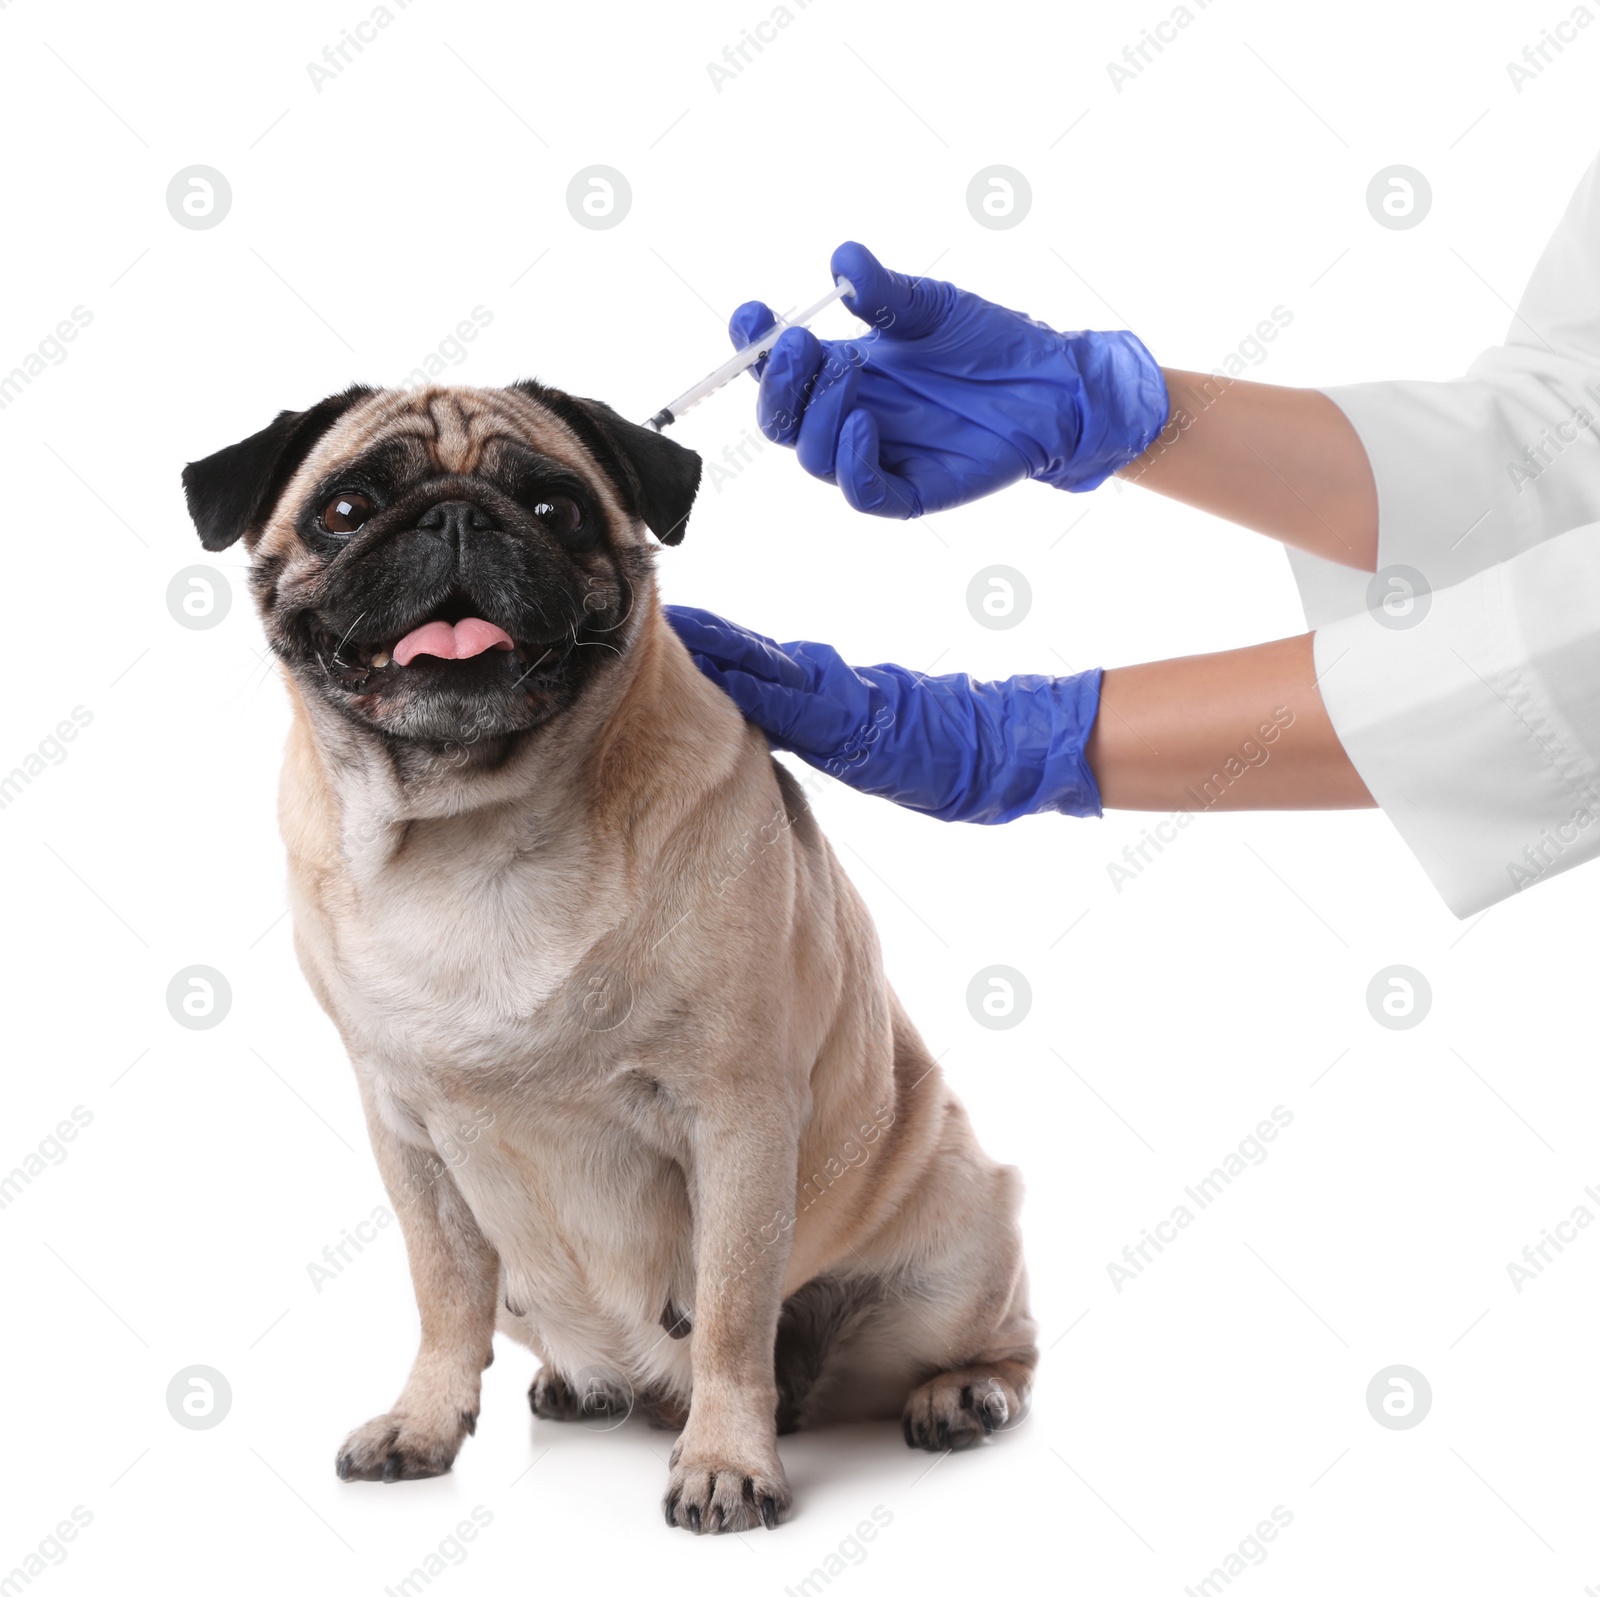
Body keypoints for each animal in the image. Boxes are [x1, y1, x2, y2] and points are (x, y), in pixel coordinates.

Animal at [184, 384, 1036, 1536]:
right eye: (347, 508)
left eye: (556, 506)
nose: (457, 515)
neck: (475, 827)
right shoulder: (405, 1135)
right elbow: (441, 1294)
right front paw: (423, 1421)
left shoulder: (738, 1118)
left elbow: (729, 1312)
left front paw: (725, 1462)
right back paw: (579, 1383)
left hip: (960, 1241)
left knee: (992, 1340)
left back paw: (962, 1394)